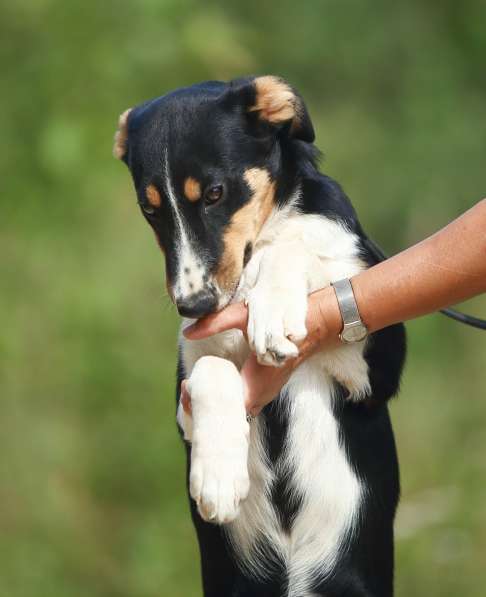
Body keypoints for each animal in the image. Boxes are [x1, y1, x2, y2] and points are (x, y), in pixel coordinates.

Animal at [114, 75, 406, 596]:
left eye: (214, 193)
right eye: (150, 211)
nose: (193, 307)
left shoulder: (373, 368)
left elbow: (295, 249)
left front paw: (273, 309)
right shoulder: (184, 402)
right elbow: (212, 369)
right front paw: (217, 477)